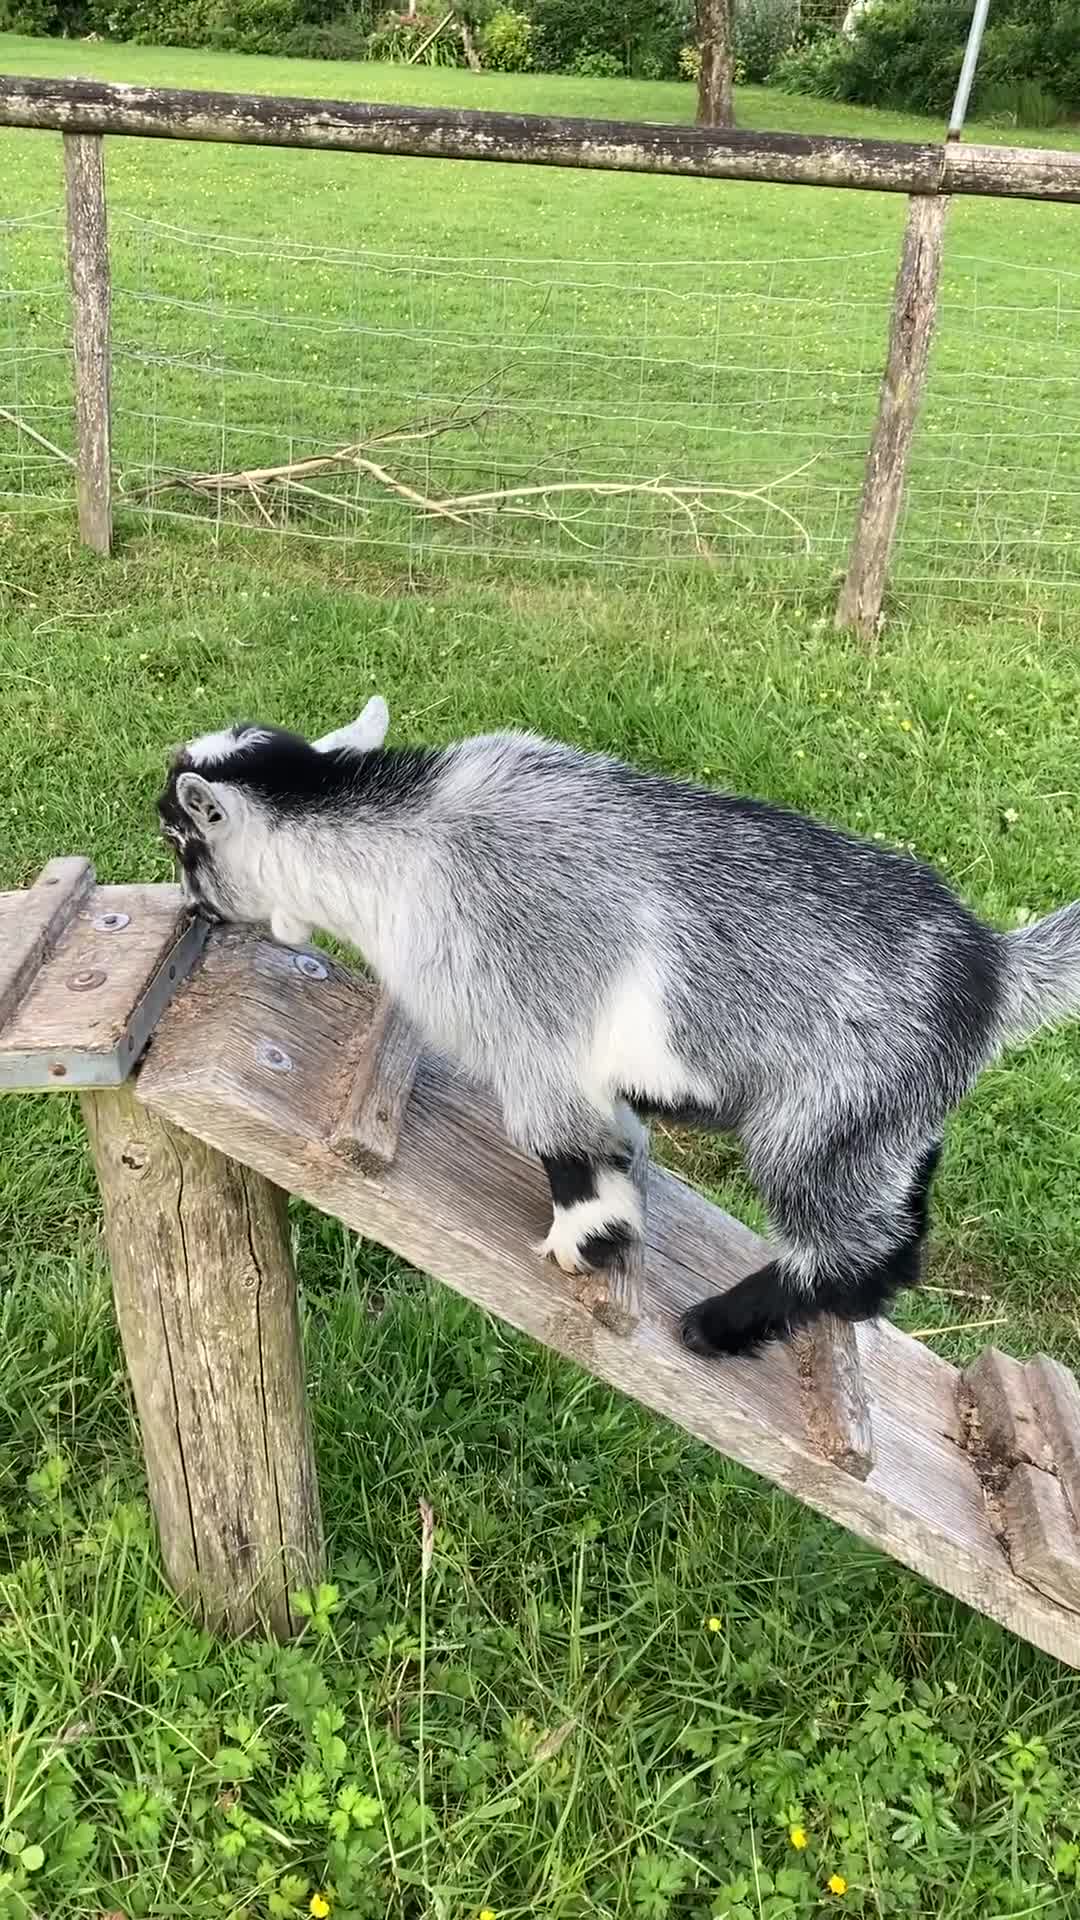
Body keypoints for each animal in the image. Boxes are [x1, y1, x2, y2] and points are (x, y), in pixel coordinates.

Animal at [157, 698, 1080, 1357]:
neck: (401, 851)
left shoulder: (528, 1032)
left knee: (850, 1248)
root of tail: (996, 970)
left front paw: (587, 1240)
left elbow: (562, 1144)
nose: (195, 909)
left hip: (819, 1124)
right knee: (902, 1235)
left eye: (179, 839)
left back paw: (721, 1325)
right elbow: (614, 1132)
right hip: (890, 1130)